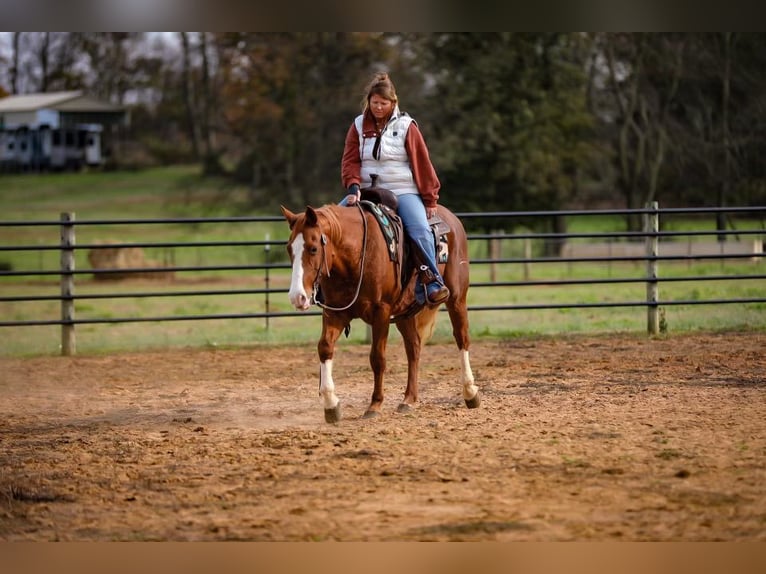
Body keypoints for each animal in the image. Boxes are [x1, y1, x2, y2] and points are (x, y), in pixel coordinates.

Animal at [280, 200, 480, 423]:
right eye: (289, 248)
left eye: (313, 248)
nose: (297, 297)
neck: (355, 254)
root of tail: (452, 219)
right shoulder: (335, 313)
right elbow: (324, 348)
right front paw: (331, 405)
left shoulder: (381, 312)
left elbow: (377, 358)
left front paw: (375, 405)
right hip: (404, 313)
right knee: (414, 347)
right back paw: (409, 399)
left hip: (457, 298)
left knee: (461, 338)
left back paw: (470, 392)